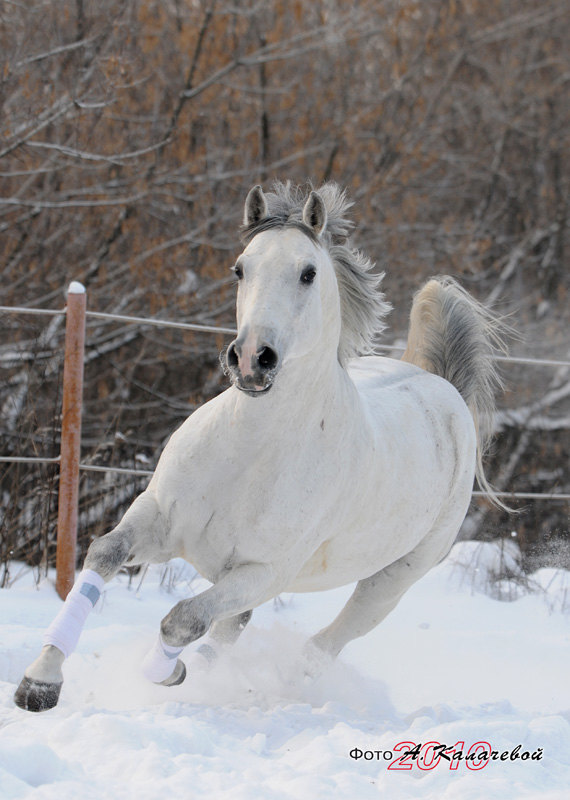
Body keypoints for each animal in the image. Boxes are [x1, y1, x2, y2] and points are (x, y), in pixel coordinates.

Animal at [13, 183, 504, 712]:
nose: (251, 359)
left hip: (390, 581)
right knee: (238, 628)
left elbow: (182, 619)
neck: (248, 453)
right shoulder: (159, 518)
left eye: (308, 273)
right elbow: (104, 555)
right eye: (240, 268)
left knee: (317, 648)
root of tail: (444, 389)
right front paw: (39, 683)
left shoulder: (264, 572)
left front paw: (167, 674)